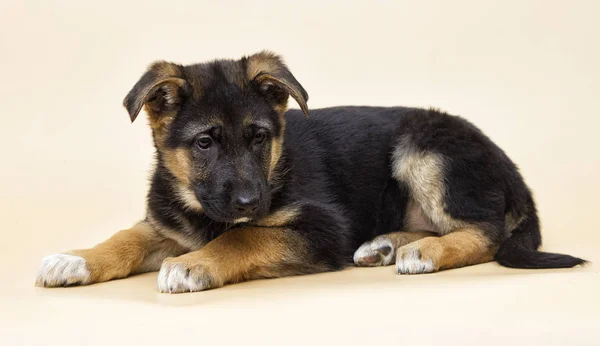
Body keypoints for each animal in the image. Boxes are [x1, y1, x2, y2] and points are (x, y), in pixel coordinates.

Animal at [34, 51, 584, 294]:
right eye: (204, 143)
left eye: (259, 138)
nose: (250, 203)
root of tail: (511, 170)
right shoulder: (167, 222)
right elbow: (127, 236)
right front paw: (75, 259)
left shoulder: (323, 228)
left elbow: (243, 237)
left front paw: (195, 264)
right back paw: (386, 245)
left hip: (422, 146)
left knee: (486, 231)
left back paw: (422, 252)